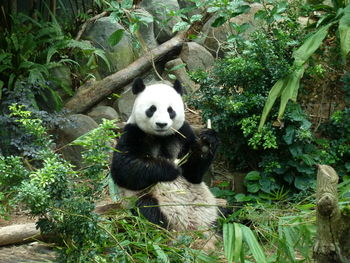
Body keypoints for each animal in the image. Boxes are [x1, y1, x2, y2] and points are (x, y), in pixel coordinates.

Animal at [110, 78, 219, 233]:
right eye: (152, 109)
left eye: (170, 110)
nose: (161, 124)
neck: (160, 136)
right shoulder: (133, 132)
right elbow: (124, 169)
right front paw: (170, 168)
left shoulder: (183, 133)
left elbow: (193, 174)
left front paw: (206, 143)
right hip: (152, 203)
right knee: (148, 210)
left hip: (210, 209)